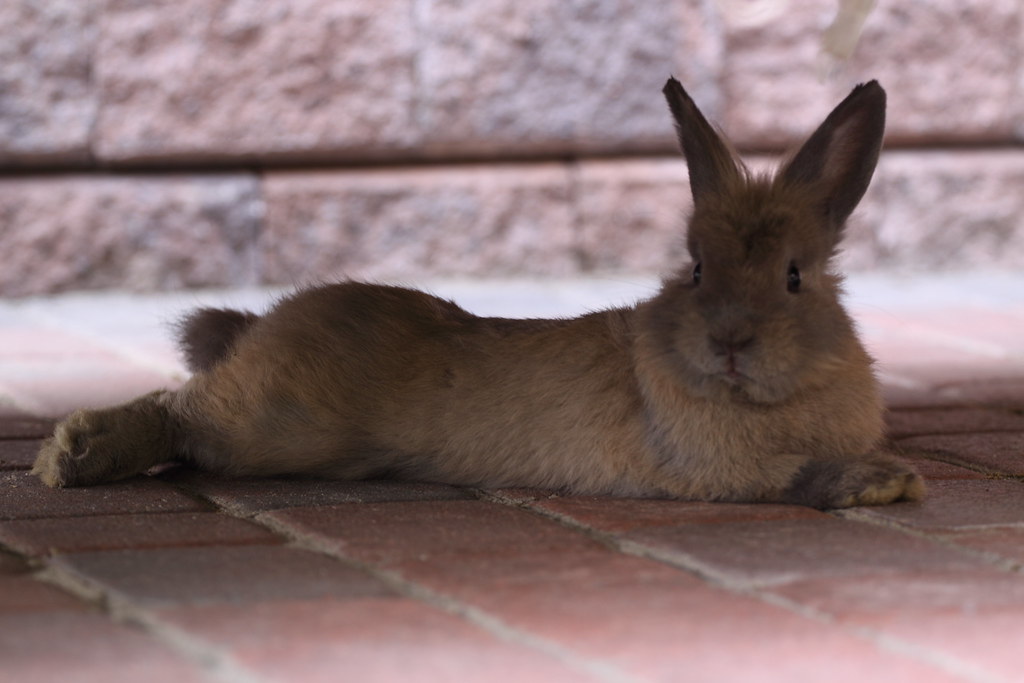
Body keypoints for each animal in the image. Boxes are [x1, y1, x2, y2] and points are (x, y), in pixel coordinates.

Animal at [33, 77, 923, 509]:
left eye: (795, 275)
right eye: (696, 266)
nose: (731, 341)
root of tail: (260, 327)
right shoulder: (713, 464)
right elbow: (789, 476)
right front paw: (879, 483)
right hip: (270, 425)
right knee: (174, 410)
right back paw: (69, 458)